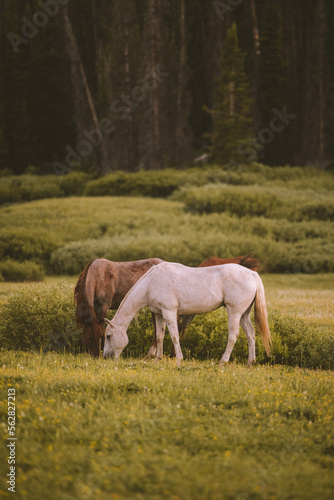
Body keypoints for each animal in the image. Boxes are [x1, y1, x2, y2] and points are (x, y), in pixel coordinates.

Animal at [103, 264, 272, 366]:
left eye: (108, 336)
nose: (106, 357)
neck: (151, 282)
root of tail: (252, 273)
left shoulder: (169, 312)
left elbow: (174, 336)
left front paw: (179, 359)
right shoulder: (159, 314)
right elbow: (159, 336)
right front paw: (158, 358)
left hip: (234, 312)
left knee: (233, 335)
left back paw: (223, 361)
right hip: (244, 314)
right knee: (251, 334)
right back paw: (251, 362)